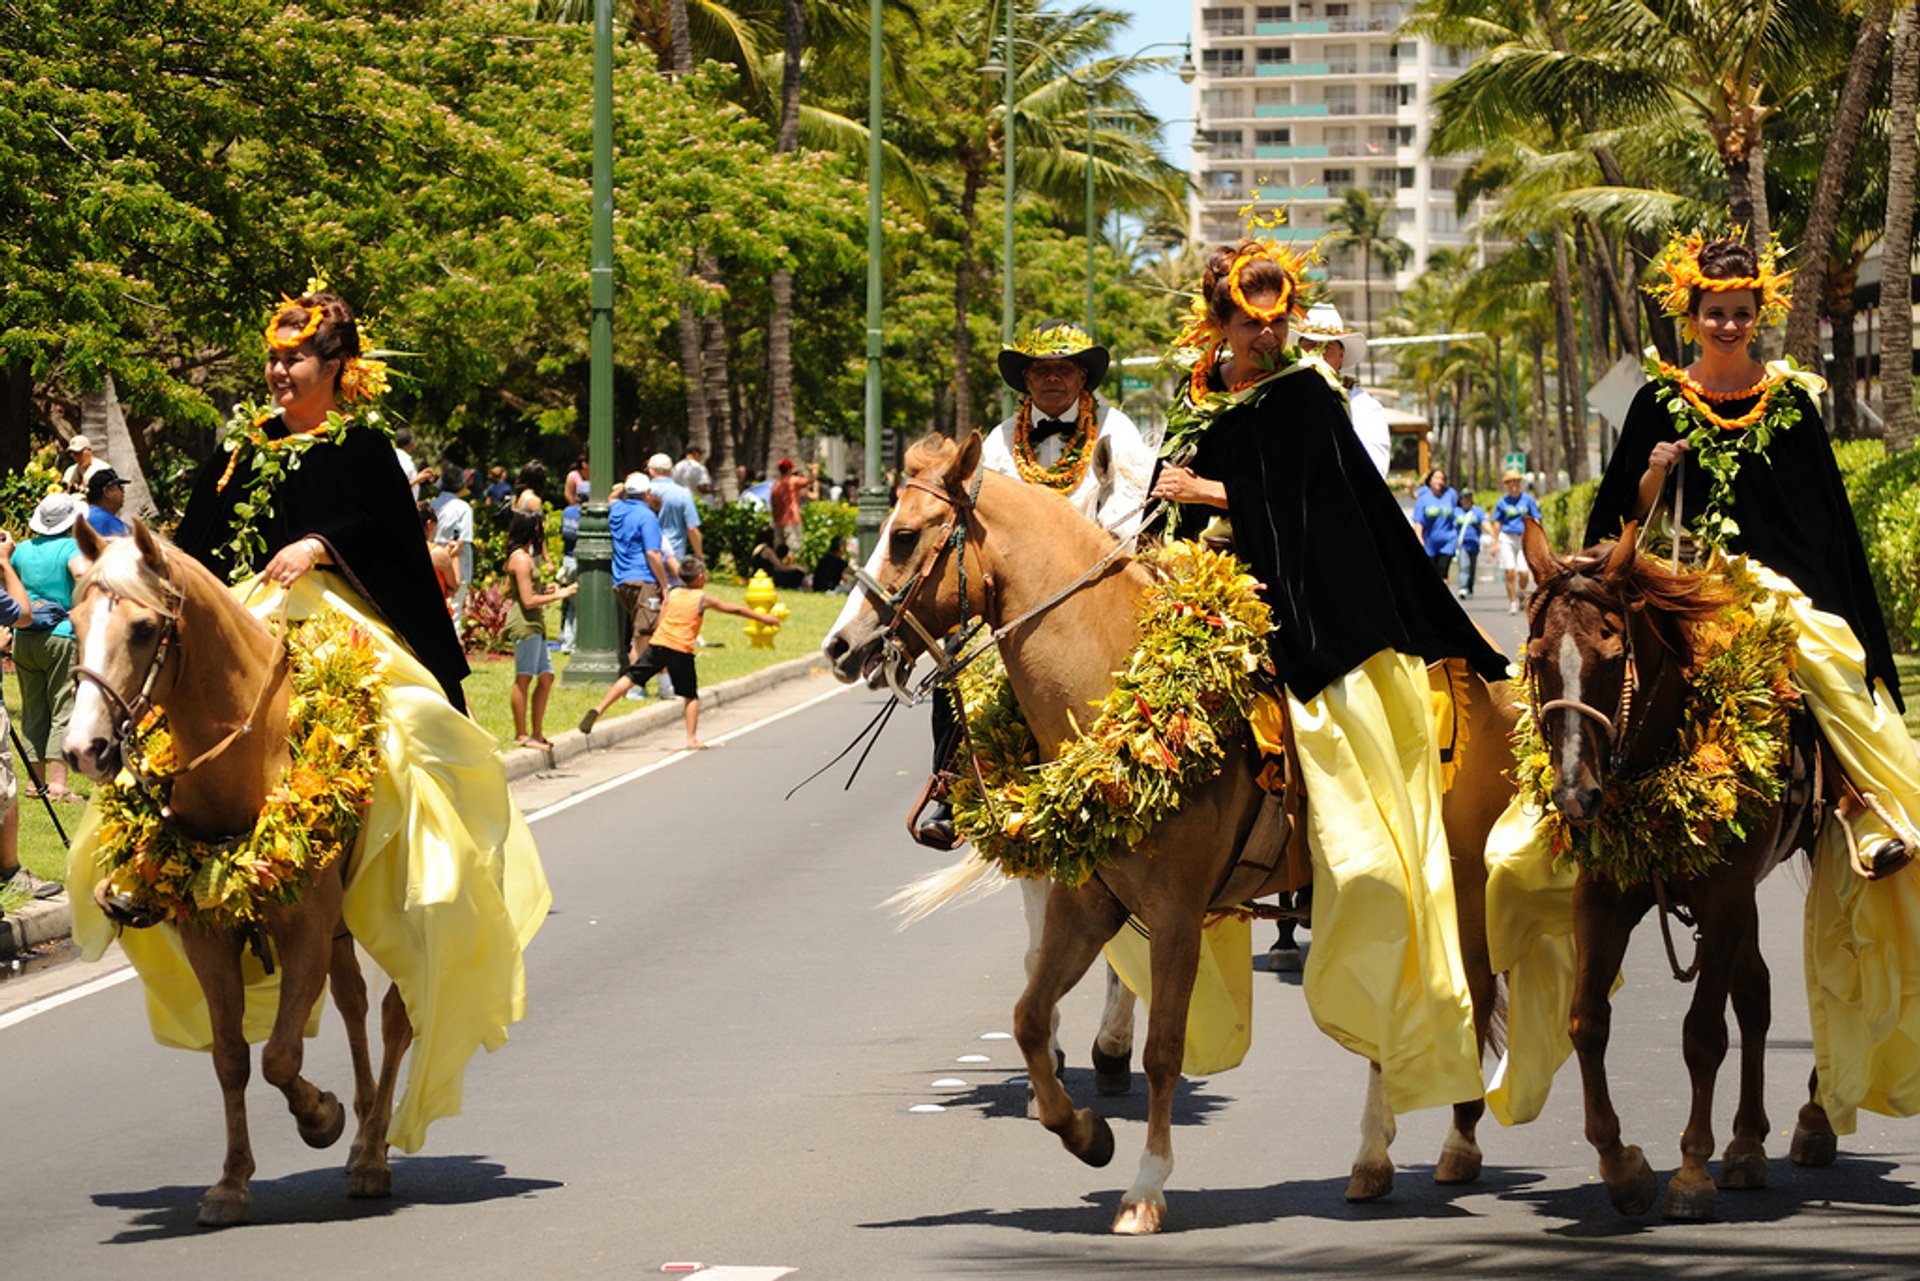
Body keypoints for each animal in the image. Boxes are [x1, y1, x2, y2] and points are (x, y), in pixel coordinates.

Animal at [62, 518, 412, 1221]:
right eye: (74, 620)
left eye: (143, 629)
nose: (84, 749)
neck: (252, 754)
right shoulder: (210, 937)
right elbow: (231, 1056)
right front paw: (230, 1182)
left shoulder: (305, 929)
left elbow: (279, 1054)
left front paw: (320, 1117)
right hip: (340, 929)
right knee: (354, 1002)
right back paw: (365, 1129)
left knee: (396, 1015)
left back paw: (371, 1152)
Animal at [821, 435, 1512, 1236]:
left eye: (903, 536)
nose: (839, 647)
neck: (1120, 679)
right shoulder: (1087, 902)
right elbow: (1028, 1016)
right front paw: (1085, 1134)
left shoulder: (1177, 912)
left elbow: (1163, 1049)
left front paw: (1145, 1187)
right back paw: (1373, 1158)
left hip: (1460, 878)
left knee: (1469, 987)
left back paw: (1458, 1139)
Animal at [1512, 518, 1827, 1221]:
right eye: (1539, 657)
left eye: (1610, 658)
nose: (1574, 794)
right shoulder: (1603, 896)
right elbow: (1587, 1021)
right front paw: (1621, 1165)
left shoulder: (1726, 896)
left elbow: (1703, 1033)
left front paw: (1689, 1172)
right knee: (1757, 994)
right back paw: (1746, 1142)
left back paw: (1812, 1119)